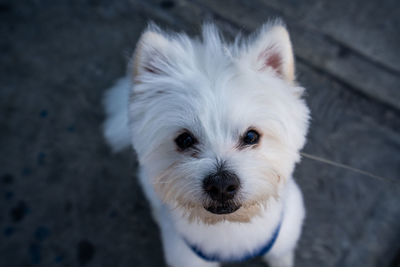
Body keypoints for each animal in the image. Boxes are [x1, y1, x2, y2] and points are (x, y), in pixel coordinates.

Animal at [102, 21, 310, 267]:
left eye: (251, 136)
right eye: (184, 140)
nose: (221, 185)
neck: (229, 226)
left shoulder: (285, 234)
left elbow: (280, 255)